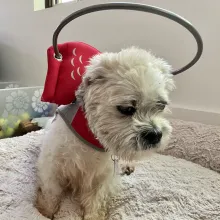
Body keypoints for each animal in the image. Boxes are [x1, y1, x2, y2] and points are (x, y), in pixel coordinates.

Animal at [35, 47, 174, 219]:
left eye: (161, 105)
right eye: (127, 109)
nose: (155, 134)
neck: (91, 138)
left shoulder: (103, 176)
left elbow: (96, 199)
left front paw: (93, 216)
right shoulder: (52, 165)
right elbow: (51, 191)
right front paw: (45, 211)